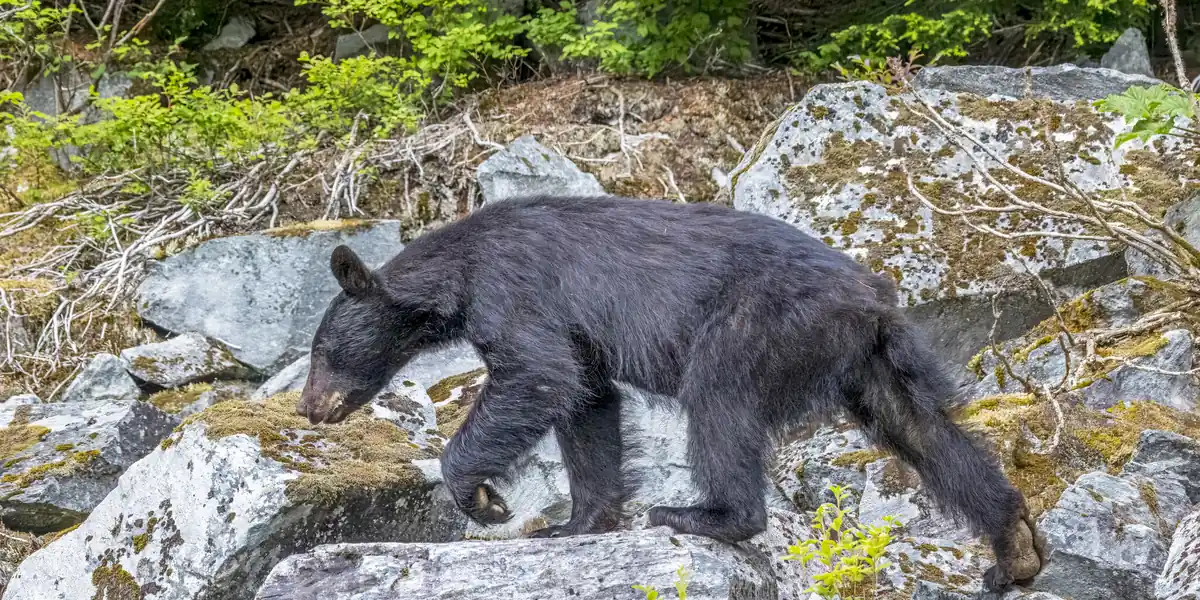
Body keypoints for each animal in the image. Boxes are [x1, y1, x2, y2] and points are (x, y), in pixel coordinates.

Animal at [295, 194, 1043, 592]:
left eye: (321, 352)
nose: (309, 407)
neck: (459, 272)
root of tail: (873, 299)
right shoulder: (578, 335)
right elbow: (587, 403)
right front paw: (576, 523)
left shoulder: (514, 291)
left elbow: (537, 375)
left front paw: (482, 498)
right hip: (863, 364)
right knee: (922, 431)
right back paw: (1012, 549)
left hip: (759, 325)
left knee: (719, 403)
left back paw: (702, 515)